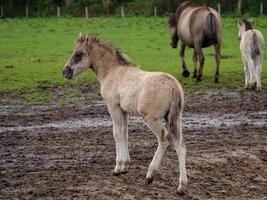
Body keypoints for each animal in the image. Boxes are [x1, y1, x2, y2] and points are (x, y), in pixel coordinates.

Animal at [62, 33, 188, 195]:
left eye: (78, 53)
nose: (65, 72)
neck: (113, 71)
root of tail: (173, 86)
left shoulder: (113, 107)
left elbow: (116, 133)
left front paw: (118, 167)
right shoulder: (124, 110)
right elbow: (125, 133)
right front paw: (125, 166)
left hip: (152, 119)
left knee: (164, 139)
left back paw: (150, 175)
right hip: (175, 119)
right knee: (180, 145)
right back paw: (181, 186)